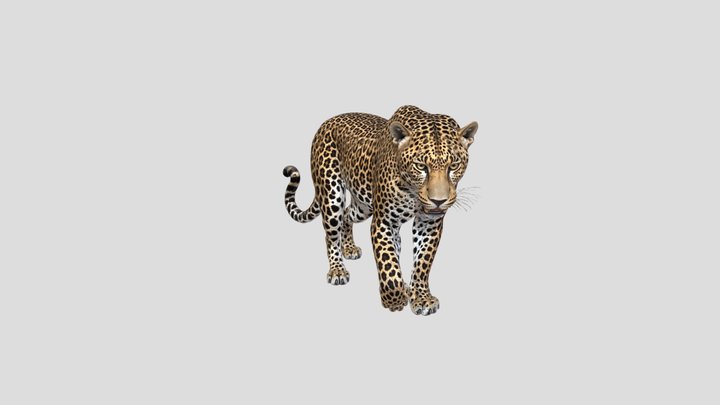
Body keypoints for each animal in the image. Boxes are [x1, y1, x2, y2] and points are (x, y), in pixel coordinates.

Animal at [282, 105, 478, 315]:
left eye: (454, 166)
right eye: (421, 166)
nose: (438, 201)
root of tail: (327, 122)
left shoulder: (429, 223)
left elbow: (422, 263)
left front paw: (421, 298)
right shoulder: (384, 221)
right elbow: (388, 261)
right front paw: (394, 299)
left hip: (363, 207)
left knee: (347, 215)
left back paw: (349, 248)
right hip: (331, 195)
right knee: (331, 234)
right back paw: (337, 270)